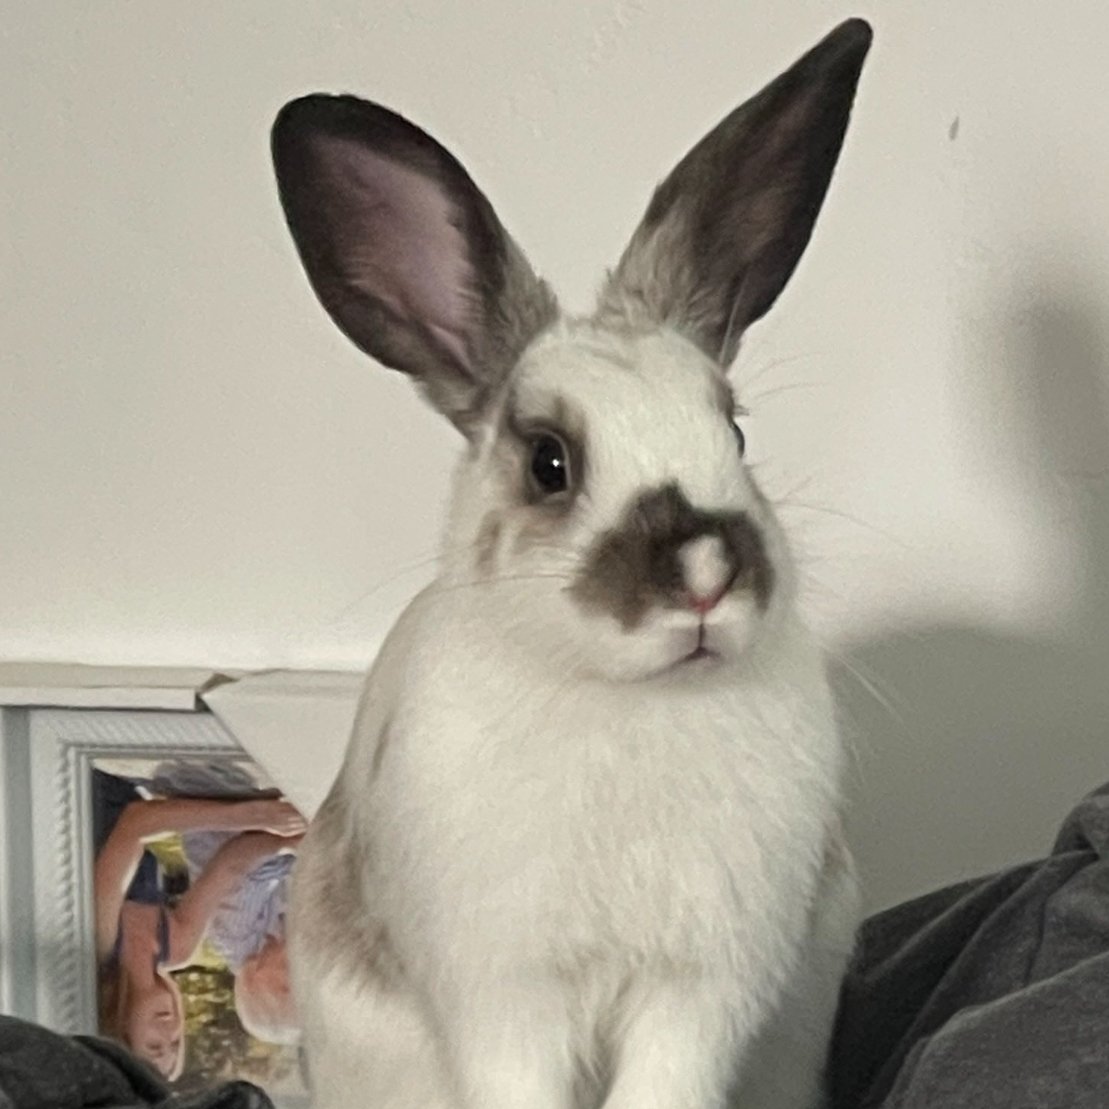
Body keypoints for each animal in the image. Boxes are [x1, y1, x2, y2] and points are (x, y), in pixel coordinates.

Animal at [272, 17, 872, 1109]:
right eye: (549, 462)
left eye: (732, 429)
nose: (706, 570)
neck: (632, 699)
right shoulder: (505, 994)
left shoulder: (696, 993)